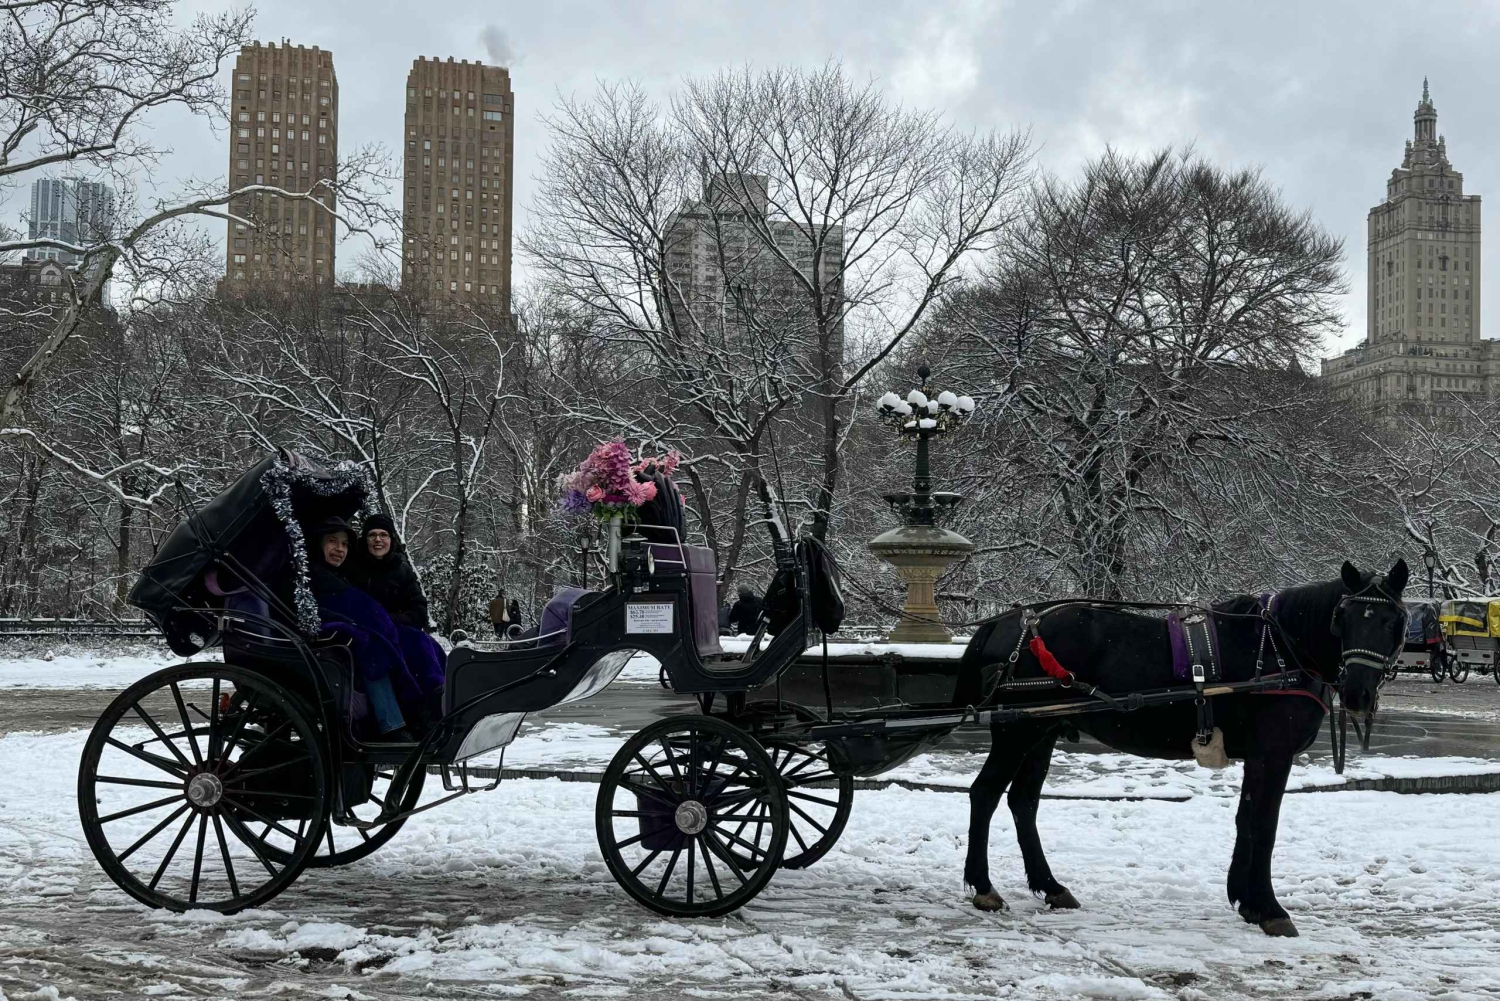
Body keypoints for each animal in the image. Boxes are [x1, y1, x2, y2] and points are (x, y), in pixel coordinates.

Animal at [951, 559, 1409, 937]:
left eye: (1392, 622)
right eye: (1343, 618)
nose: (1358, 692)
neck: (1281, 648)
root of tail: (1006, 622)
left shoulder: (1258, 757)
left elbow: (1246, 819)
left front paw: (1246, 900)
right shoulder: (1274, 754)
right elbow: (1265, 825)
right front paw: (1269, 908)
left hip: (1042, 733)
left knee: (1023, 802)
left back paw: (1050, 886)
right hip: (1019, 733)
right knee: (985, 794)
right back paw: (984, 885)